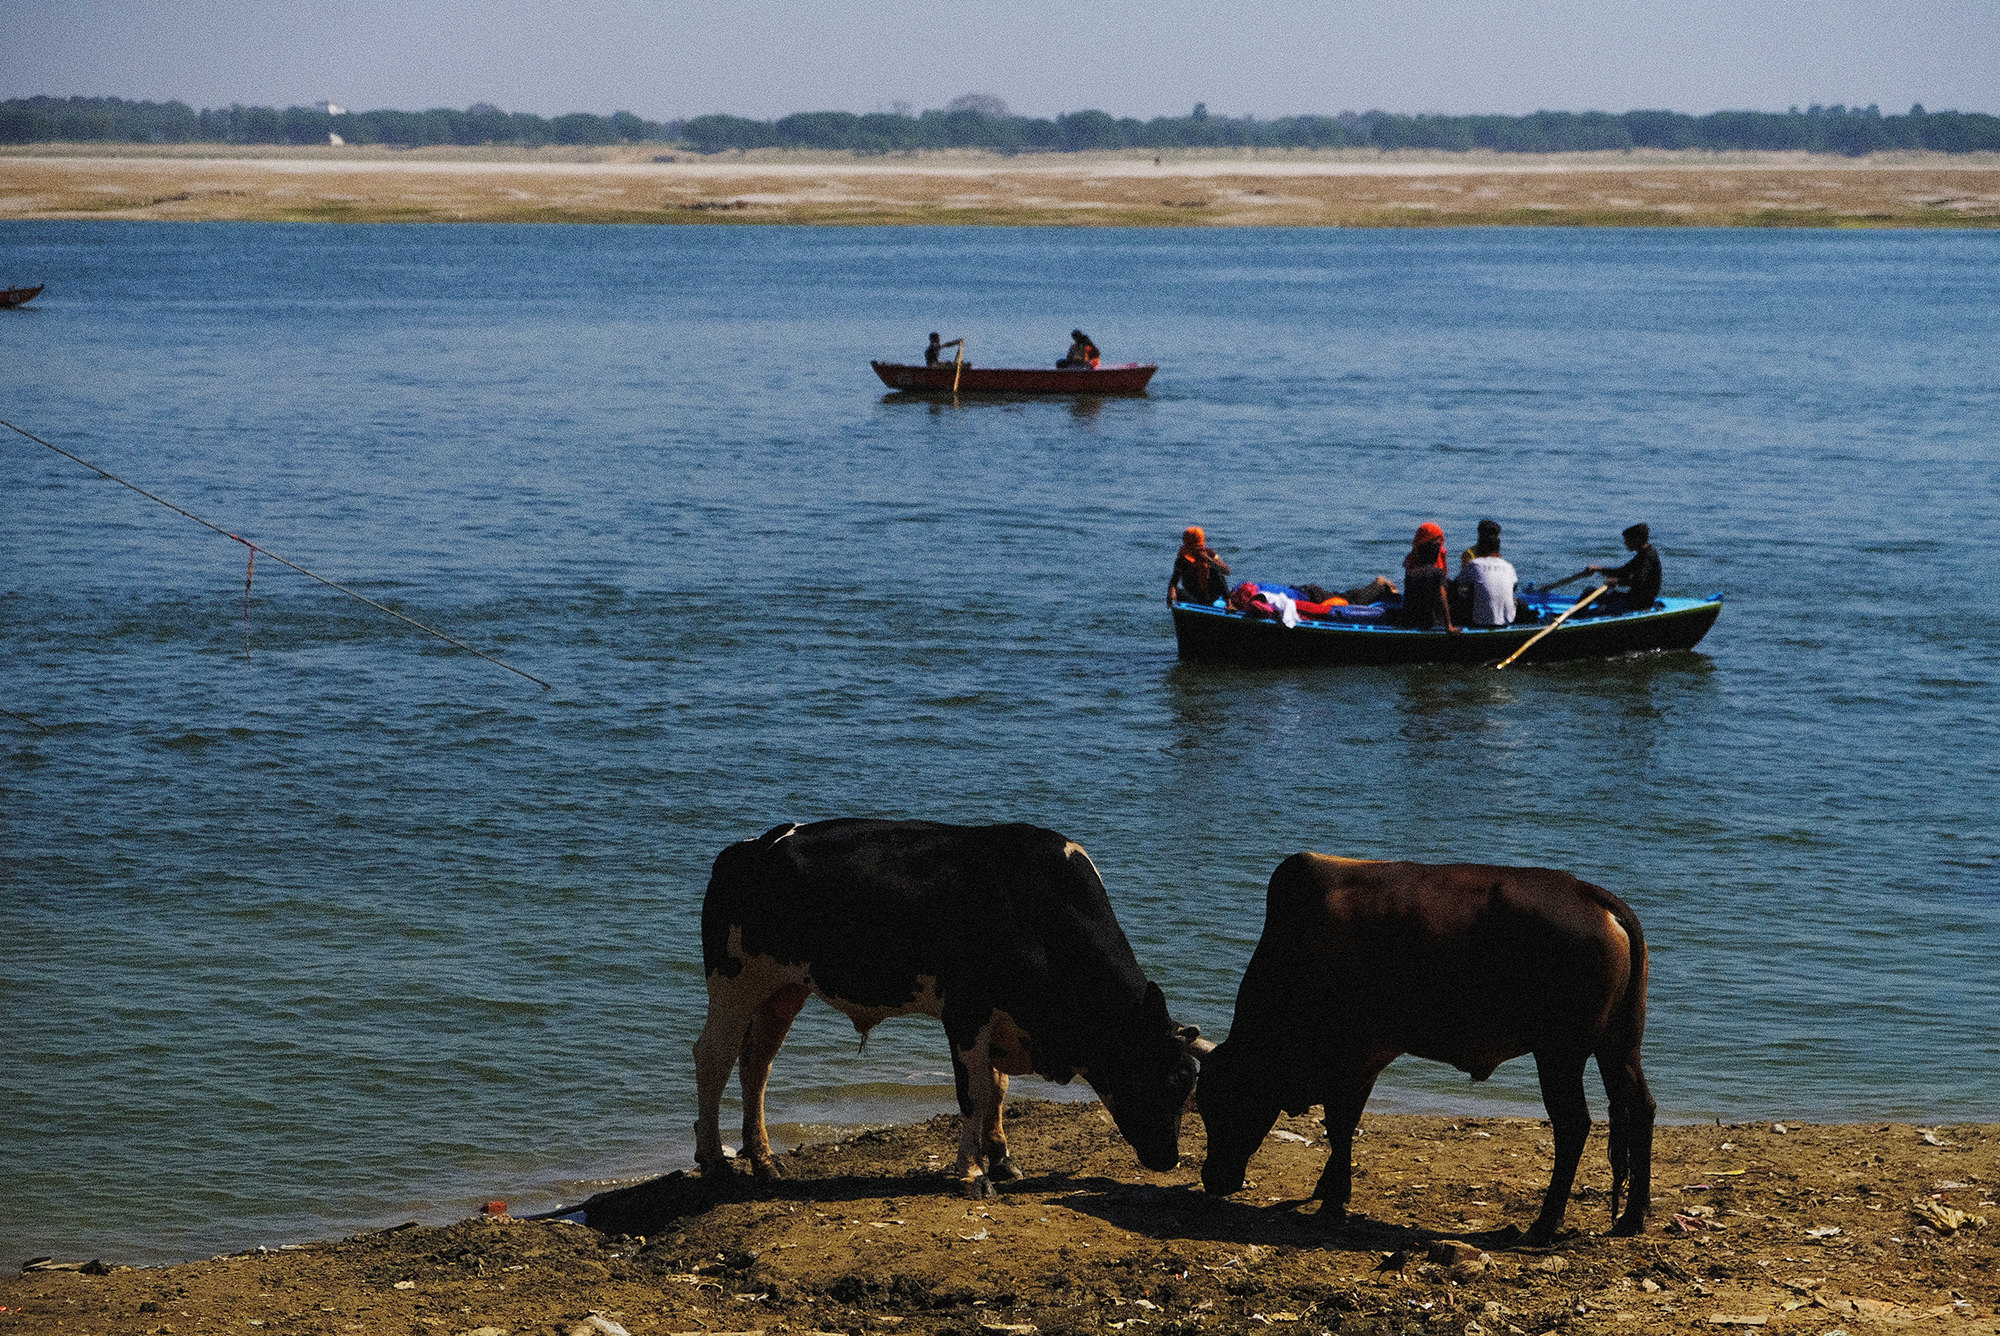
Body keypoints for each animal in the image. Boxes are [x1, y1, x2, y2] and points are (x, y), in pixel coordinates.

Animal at [696, 820, 1192, 1192]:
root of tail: (746, 849)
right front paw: (972, 1173)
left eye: (1188, 1086)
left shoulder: (999, 1022)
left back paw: (765, 1161)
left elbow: (998, 1087)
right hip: (733, 986)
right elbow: (975, 1092)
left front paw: (1001, 1157)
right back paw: (715, 1162)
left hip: (782, 991)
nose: (1169, 1158)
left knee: (756, 1065)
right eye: (1161, 1078)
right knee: (714, 1059)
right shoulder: (966, 1013)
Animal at [1192, 856, 1648, 1240]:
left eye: (1225, 1103)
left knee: (1573, 1125)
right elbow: (1342, 1127)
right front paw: (1329, 1190)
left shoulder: (1357, 1058)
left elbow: (1340, 1126)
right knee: (1640, 1108)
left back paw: (1545, 1224)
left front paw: (1334, 1200)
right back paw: (1632, 1217)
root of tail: (1589, 894)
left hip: (1560, 1054)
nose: (1212, 1179)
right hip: (1619, 1047)